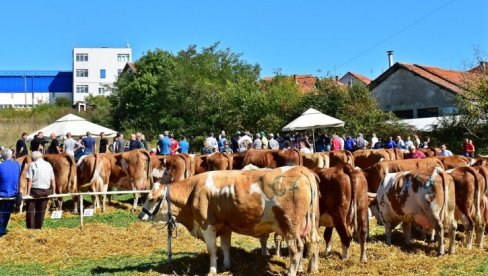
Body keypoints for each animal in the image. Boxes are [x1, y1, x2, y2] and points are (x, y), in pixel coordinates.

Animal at [138, 166, 320, 276]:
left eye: (151, 199)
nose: (140, 216)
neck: (193, 191)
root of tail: (300, 169)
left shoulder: (207, 225)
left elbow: (212, 250)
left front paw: (212, 271)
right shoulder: (225, 226)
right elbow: (225, 247)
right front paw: (226, 266)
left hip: (290, 226)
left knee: (296, 249)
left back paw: (291, 272)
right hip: (307, 225)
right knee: (311, 242)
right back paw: (307, 268)